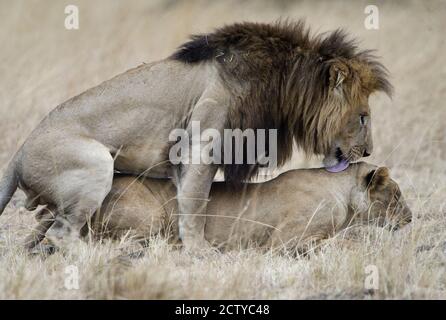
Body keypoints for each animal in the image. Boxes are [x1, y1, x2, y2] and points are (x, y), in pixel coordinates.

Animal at [0, 21, 392, 251]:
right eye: (363, 117)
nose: (368, 151)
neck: (282, 86)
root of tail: (18, 153)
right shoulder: (200, 146)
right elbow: (195, 204)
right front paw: (200, 252)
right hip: (96, 164)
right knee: (63, 234)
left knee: (46, 224)